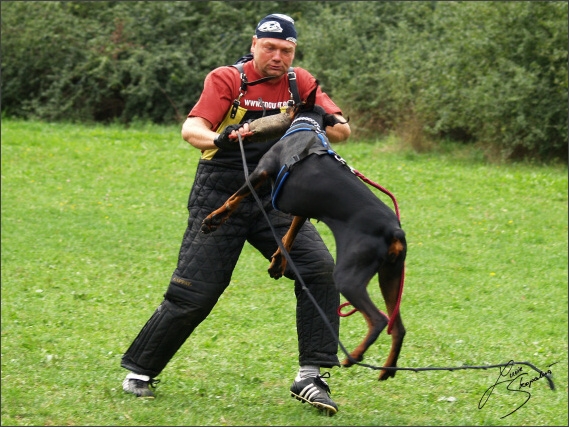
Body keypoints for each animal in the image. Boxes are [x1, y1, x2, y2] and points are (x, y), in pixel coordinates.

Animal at [200, 83, 404, 382]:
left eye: (294, 102)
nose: (287, 103)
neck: (307, 126)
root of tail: (395, 231)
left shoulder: (261, 172)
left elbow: (233, 199)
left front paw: (214, 219)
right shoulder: (301, 208)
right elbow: (289, 236)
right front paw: (278, 262)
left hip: (350, 275)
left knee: (378, 320)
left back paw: (353, 357)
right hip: (391, 276)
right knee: (398, 326)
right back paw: (387, 369)